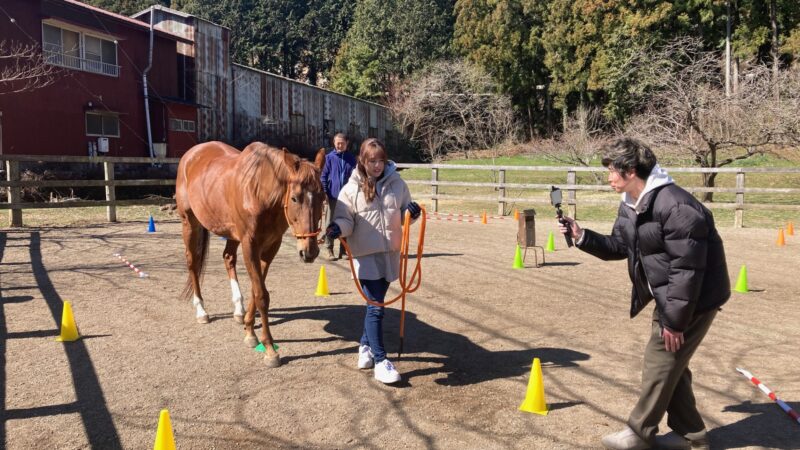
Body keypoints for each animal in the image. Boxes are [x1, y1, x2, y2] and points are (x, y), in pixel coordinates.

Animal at [175, 141, 324, 366]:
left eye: (323, 198)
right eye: (295, 198)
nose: (310, 252)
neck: (259, 192)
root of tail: (191, 155)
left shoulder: (271, 246)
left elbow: (256, 289)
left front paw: (249, 331)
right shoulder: (250, 245)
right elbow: (261, 295)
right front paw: (270, 349)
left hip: (230, 232)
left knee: (228, 258)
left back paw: (238, 310)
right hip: (189, 223)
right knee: (192, 262)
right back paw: (201, 310)